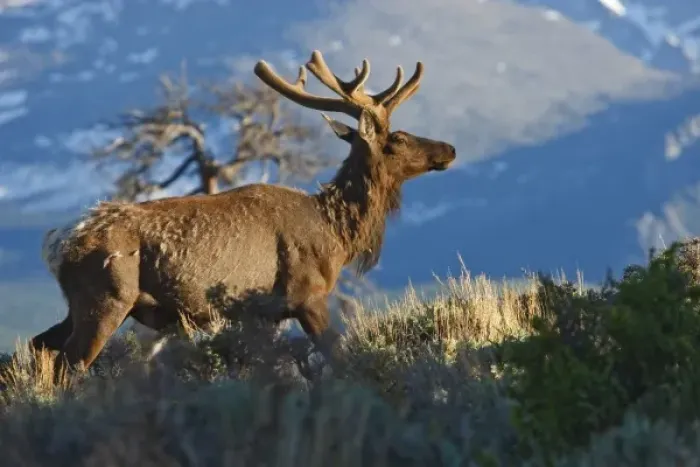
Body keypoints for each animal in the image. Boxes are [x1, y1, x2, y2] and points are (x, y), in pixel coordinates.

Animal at [31, 49, 457, 380]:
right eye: (398, 138)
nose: (449, 149)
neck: (336, 235)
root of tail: (57, 242)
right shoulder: (307, 295)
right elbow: (338, 356)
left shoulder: (262, 314)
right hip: (105, 299)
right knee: (70, 364)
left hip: (81, 303)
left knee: (40, 345)